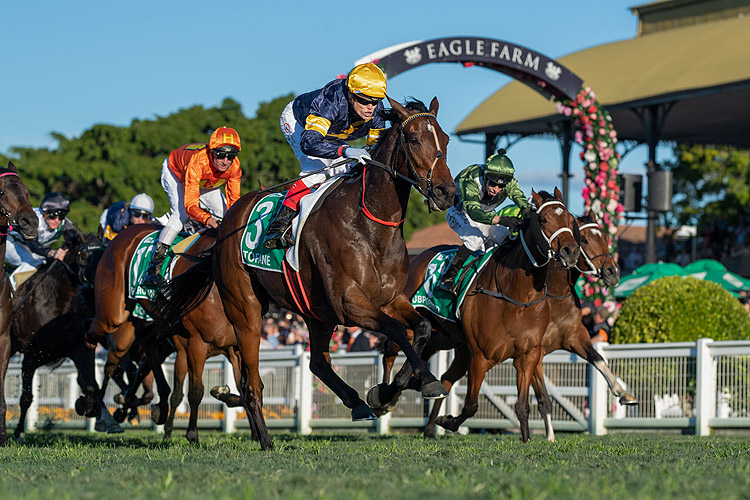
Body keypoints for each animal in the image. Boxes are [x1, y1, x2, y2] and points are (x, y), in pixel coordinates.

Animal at [160, 96, 458, 450]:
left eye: (446, 139)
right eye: (413, 139)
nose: (445, 192)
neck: (371, 222)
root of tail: (228, 221)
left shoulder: (390, 299)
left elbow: (421, 328)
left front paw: (390, 390)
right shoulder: (349, 303)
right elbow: (397, 331)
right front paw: (417, 384)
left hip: (316, 312)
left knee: (316, 361)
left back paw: (356, 403)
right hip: (246, 310)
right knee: (251, 381)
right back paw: (265, 439)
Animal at [370, 189, 580, 444]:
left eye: (570, 219)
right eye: (544, 220)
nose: (571, 251)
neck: (517, 295)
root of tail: (417, 259)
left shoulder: (527, 355)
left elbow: (522, 405)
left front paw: (527, 438)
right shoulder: (480, 356)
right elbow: (471, 405)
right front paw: (447, 421)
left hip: (448, 339)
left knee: (436, 370)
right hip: (410, 319)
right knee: (391, 350)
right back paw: (385, 397)